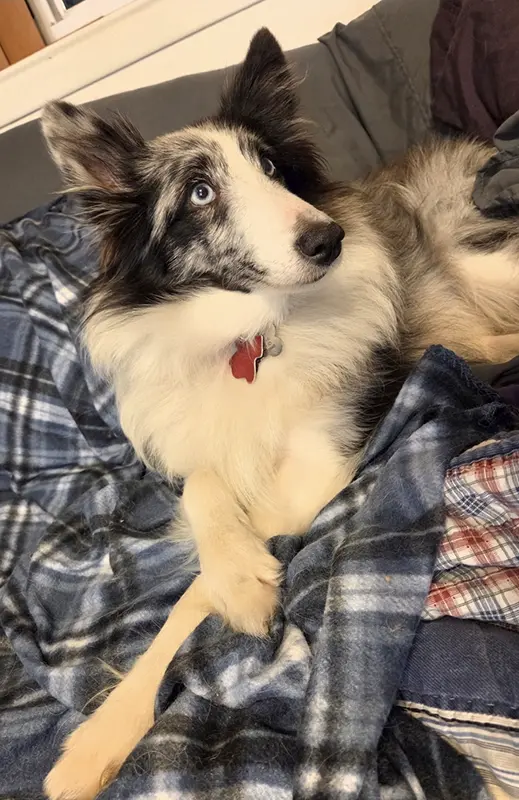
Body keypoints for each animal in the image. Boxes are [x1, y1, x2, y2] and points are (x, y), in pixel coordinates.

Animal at [41, 27, 519, 799]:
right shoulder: (204, 444)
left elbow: (193, 601)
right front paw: (98, 741)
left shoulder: (321, 467)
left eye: (270, 167)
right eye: (200, 192)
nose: (329, 240)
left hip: (481, 261)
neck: (251, 335)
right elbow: (206, 492)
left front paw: (240, 590)